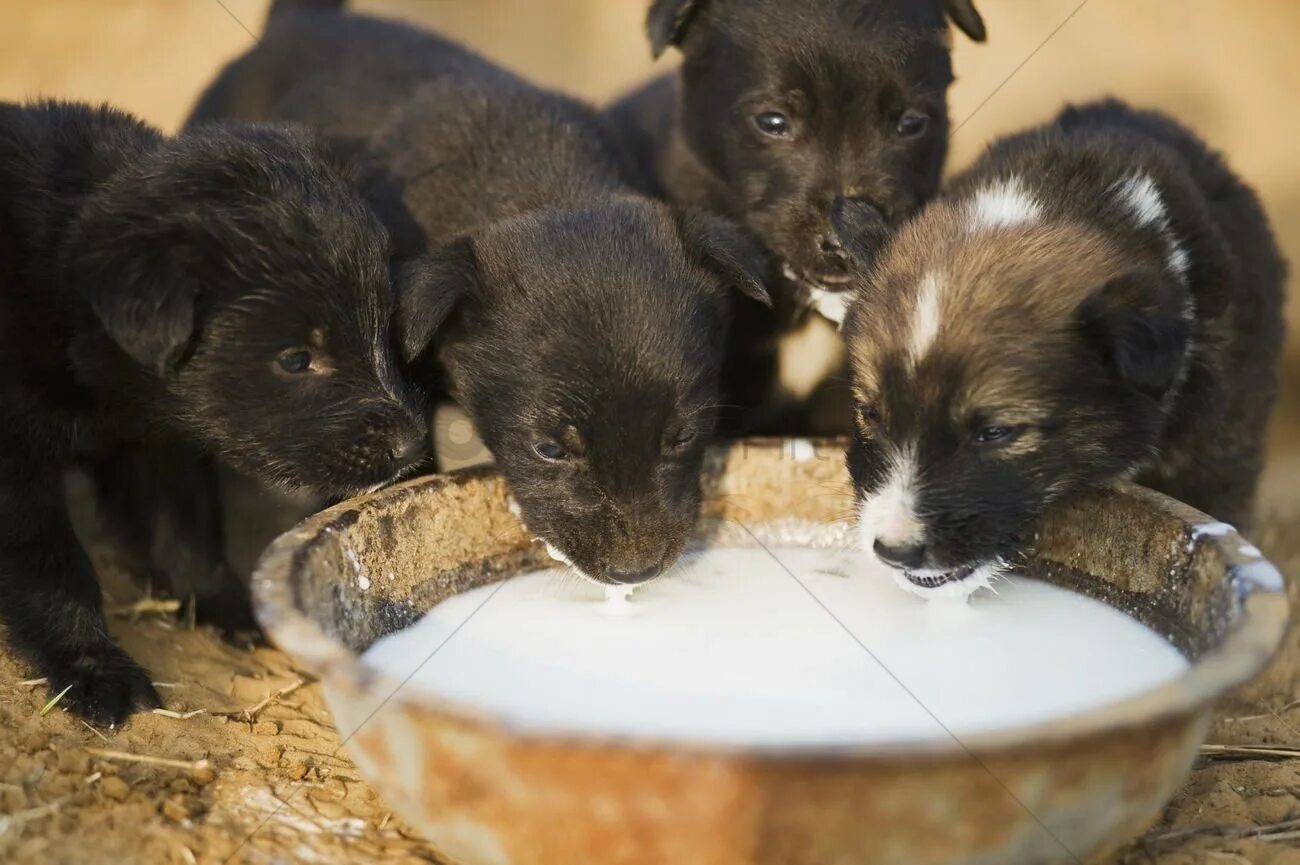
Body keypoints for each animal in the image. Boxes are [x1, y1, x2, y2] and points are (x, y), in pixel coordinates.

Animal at [0, 101, 428, 723]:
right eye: (295, 359)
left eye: (382, 327)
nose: (413, 446)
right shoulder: (15, 456)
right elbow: (51, 565)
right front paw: (94, 668)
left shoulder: (164, 436)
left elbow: (184, 524)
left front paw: (223, 604)